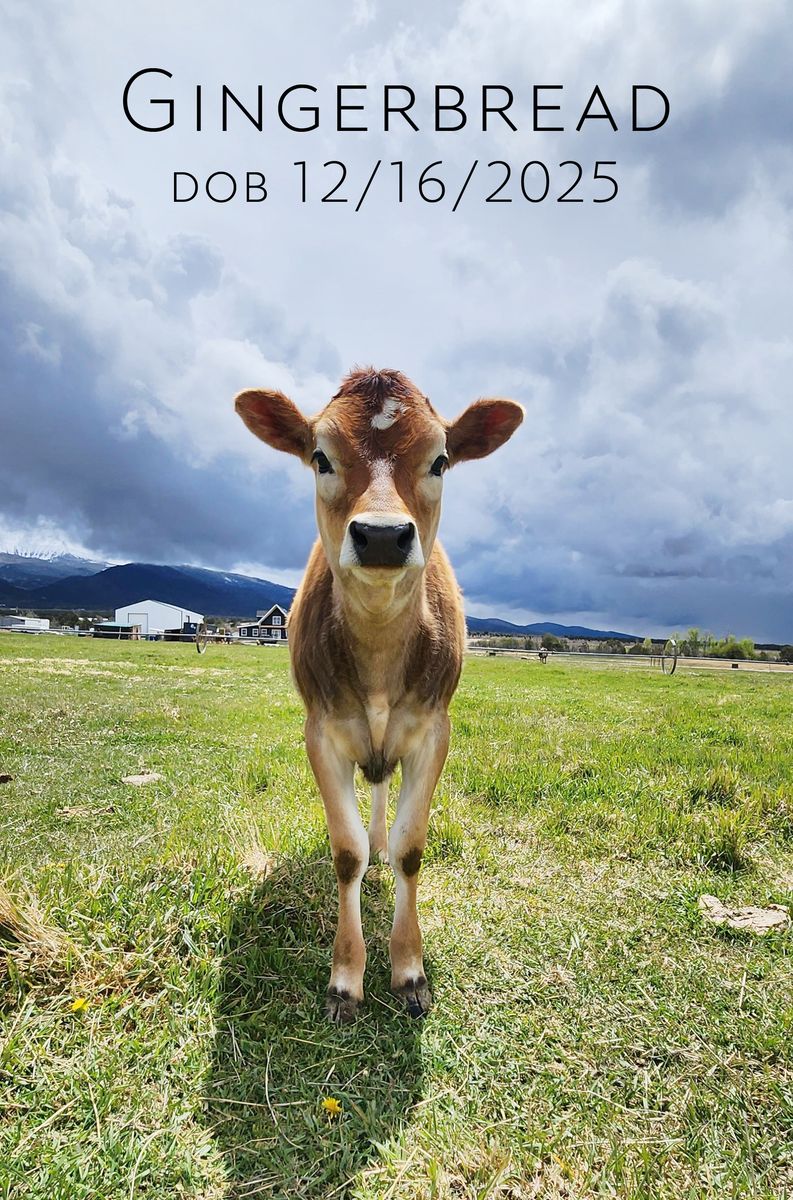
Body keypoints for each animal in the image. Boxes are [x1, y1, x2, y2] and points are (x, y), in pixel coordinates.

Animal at [235, 368, 523, 1021]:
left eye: (440, 461)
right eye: (321, 456)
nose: (383, 537)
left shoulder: (434, 728)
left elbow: (410, 848)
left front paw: (409, 969)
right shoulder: (321, 731)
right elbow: (345, 854)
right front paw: (347, 977)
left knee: (383, 790)